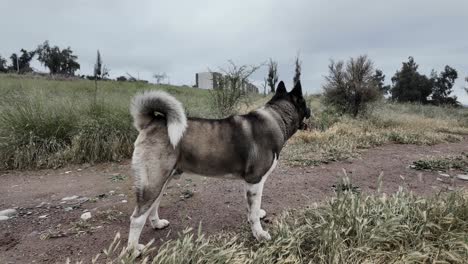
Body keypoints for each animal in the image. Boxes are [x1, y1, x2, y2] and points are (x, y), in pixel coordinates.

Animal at [128, 79, 310, 251]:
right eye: (305, 103)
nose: (310, 111)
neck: (277, 117)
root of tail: (151, 122)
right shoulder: (254, 180)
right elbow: (253, 212)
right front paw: (259, 234)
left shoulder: (251, 184)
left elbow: (252, 209)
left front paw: (258, 216)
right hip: (153, 182)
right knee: (137, 218)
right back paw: (133, 249)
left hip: (162, 181)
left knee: (153, 206)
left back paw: (157, 224)